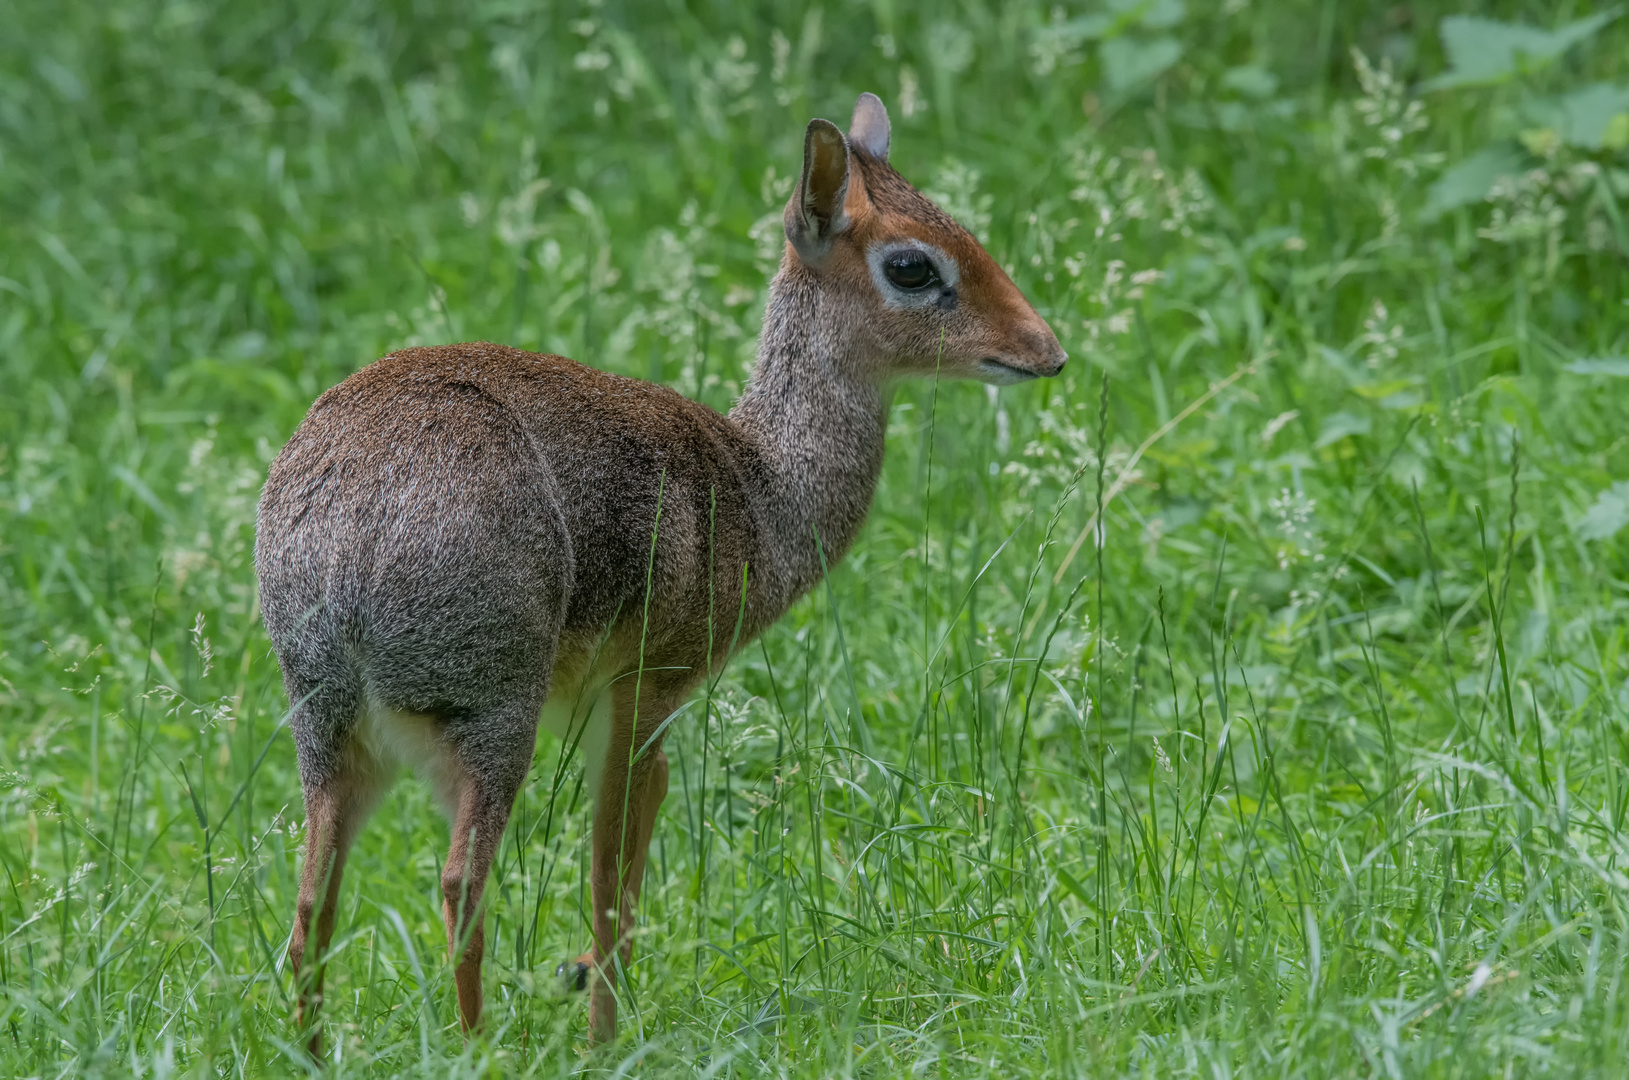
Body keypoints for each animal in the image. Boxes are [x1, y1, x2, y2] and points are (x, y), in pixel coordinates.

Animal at [255, 92, 1068, 1049]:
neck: (760, 486)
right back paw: (481, 1046)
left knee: (311, 905)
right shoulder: (648, 691)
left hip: (332, 735)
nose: (1045, 350)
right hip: (492, 715)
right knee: (459, 883)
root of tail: (342, 550)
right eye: (911, 264)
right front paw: (606, 1038)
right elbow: (614, 872)